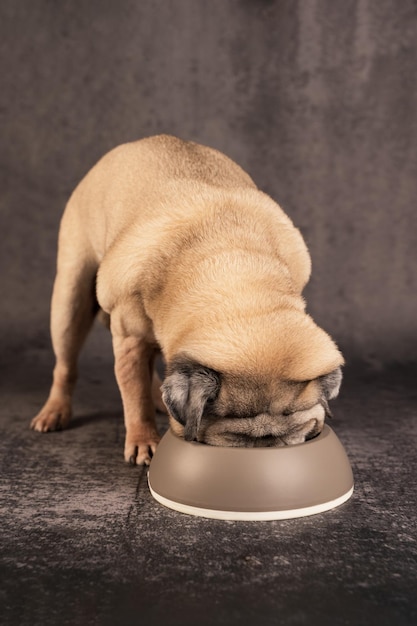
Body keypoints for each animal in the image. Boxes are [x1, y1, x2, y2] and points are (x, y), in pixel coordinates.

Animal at [29, 135, 342, 464]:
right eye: (235, 438)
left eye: (300, 428)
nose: (269, 446)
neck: (230, 271)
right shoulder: (129, 337)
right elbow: (133, 393)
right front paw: (143, 440)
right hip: (69, 300)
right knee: (67, 364)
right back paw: (55, 412)